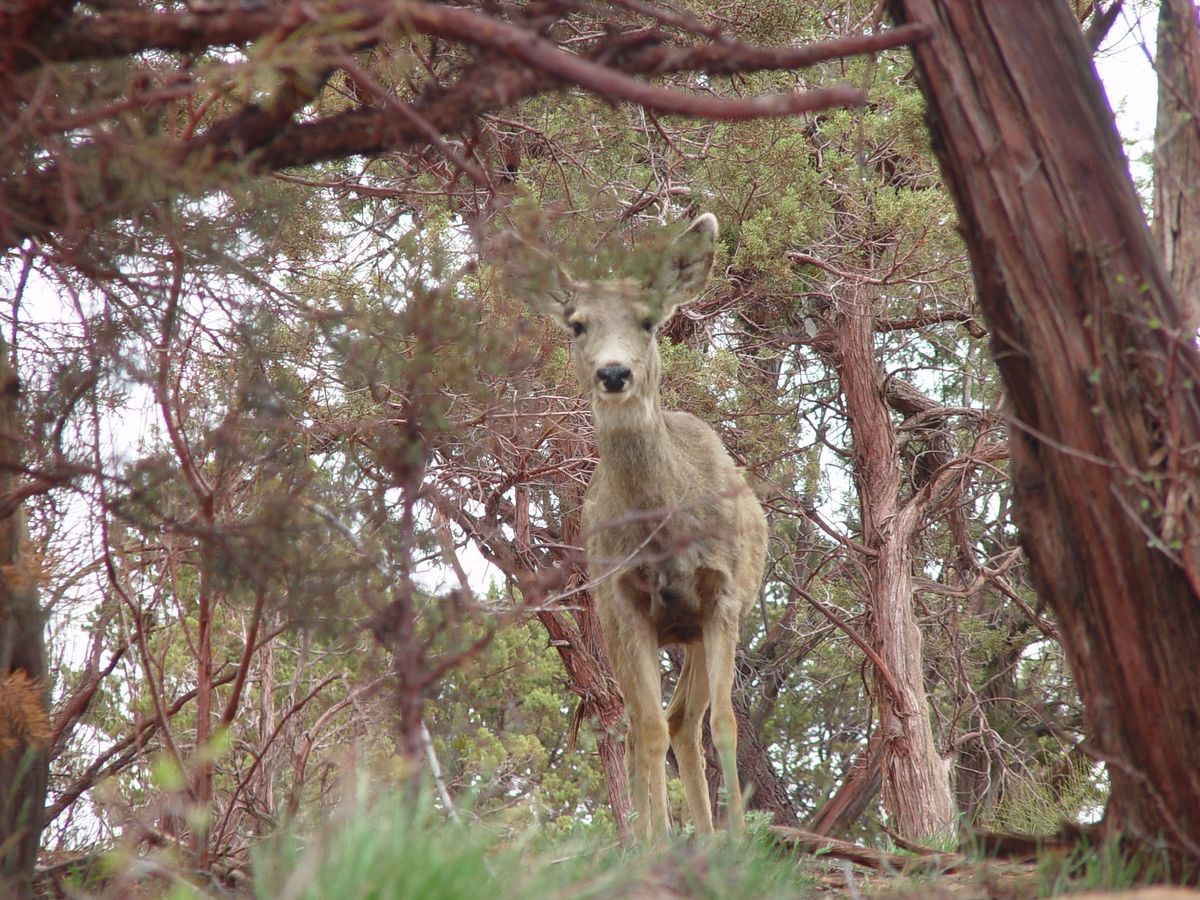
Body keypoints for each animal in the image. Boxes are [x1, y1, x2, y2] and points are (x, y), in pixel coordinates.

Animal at [518, 213, 768, 844]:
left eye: (650, 322)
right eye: (577, 324)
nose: (614, 371)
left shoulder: (723, 596)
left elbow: (725, 721)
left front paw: (739, 838)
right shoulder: (625, 602)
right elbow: (648, 728)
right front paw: (657, 842)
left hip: (697, 628)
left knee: (686, 719)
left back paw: (708, 837)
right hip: (614, 623)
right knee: (643, 724)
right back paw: (653, 837)